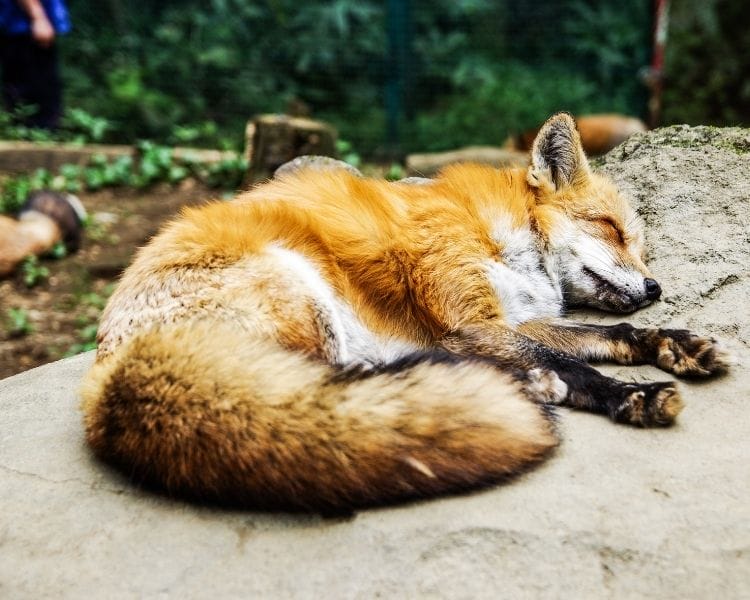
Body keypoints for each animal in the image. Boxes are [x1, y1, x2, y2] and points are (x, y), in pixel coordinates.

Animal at [80, 113, 730, 513]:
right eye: (613, 230)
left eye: (640, 247)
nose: (654, 286)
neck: (500, 234)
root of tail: (107, 371)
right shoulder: (468, 323)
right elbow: (578, 365)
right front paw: (633, 394)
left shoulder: (507, 321)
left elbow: (608, 334)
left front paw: (672, 343)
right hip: (300, 292)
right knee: (328, 391)